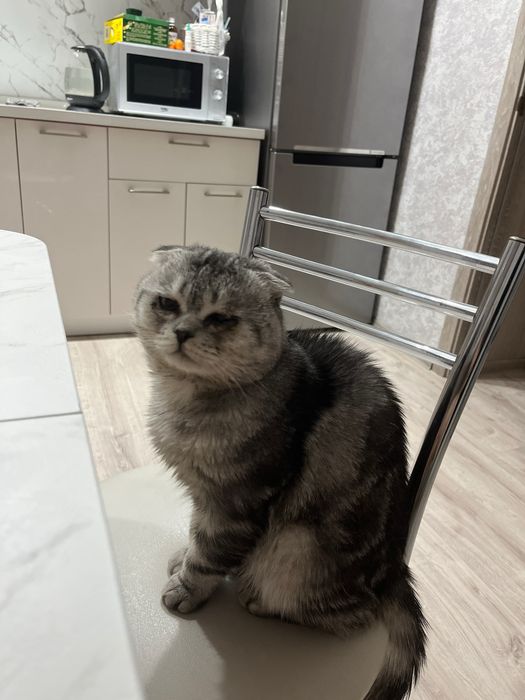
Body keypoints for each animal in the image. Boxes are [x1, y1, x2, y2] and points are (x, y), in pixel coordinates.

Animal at [134, 245, 427, 700]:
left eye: (220, 318)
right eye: (167, 303)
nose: (181, 332)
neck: (184, 400)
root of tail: (397, 564)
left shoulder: (237, 502)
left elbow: (208, 554)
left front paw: (187, 586)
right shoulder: (206, 497)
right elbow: (198, 536)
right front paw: (184, 555)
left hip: (295, 548)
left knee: (353, 617)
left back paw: (259, 601)